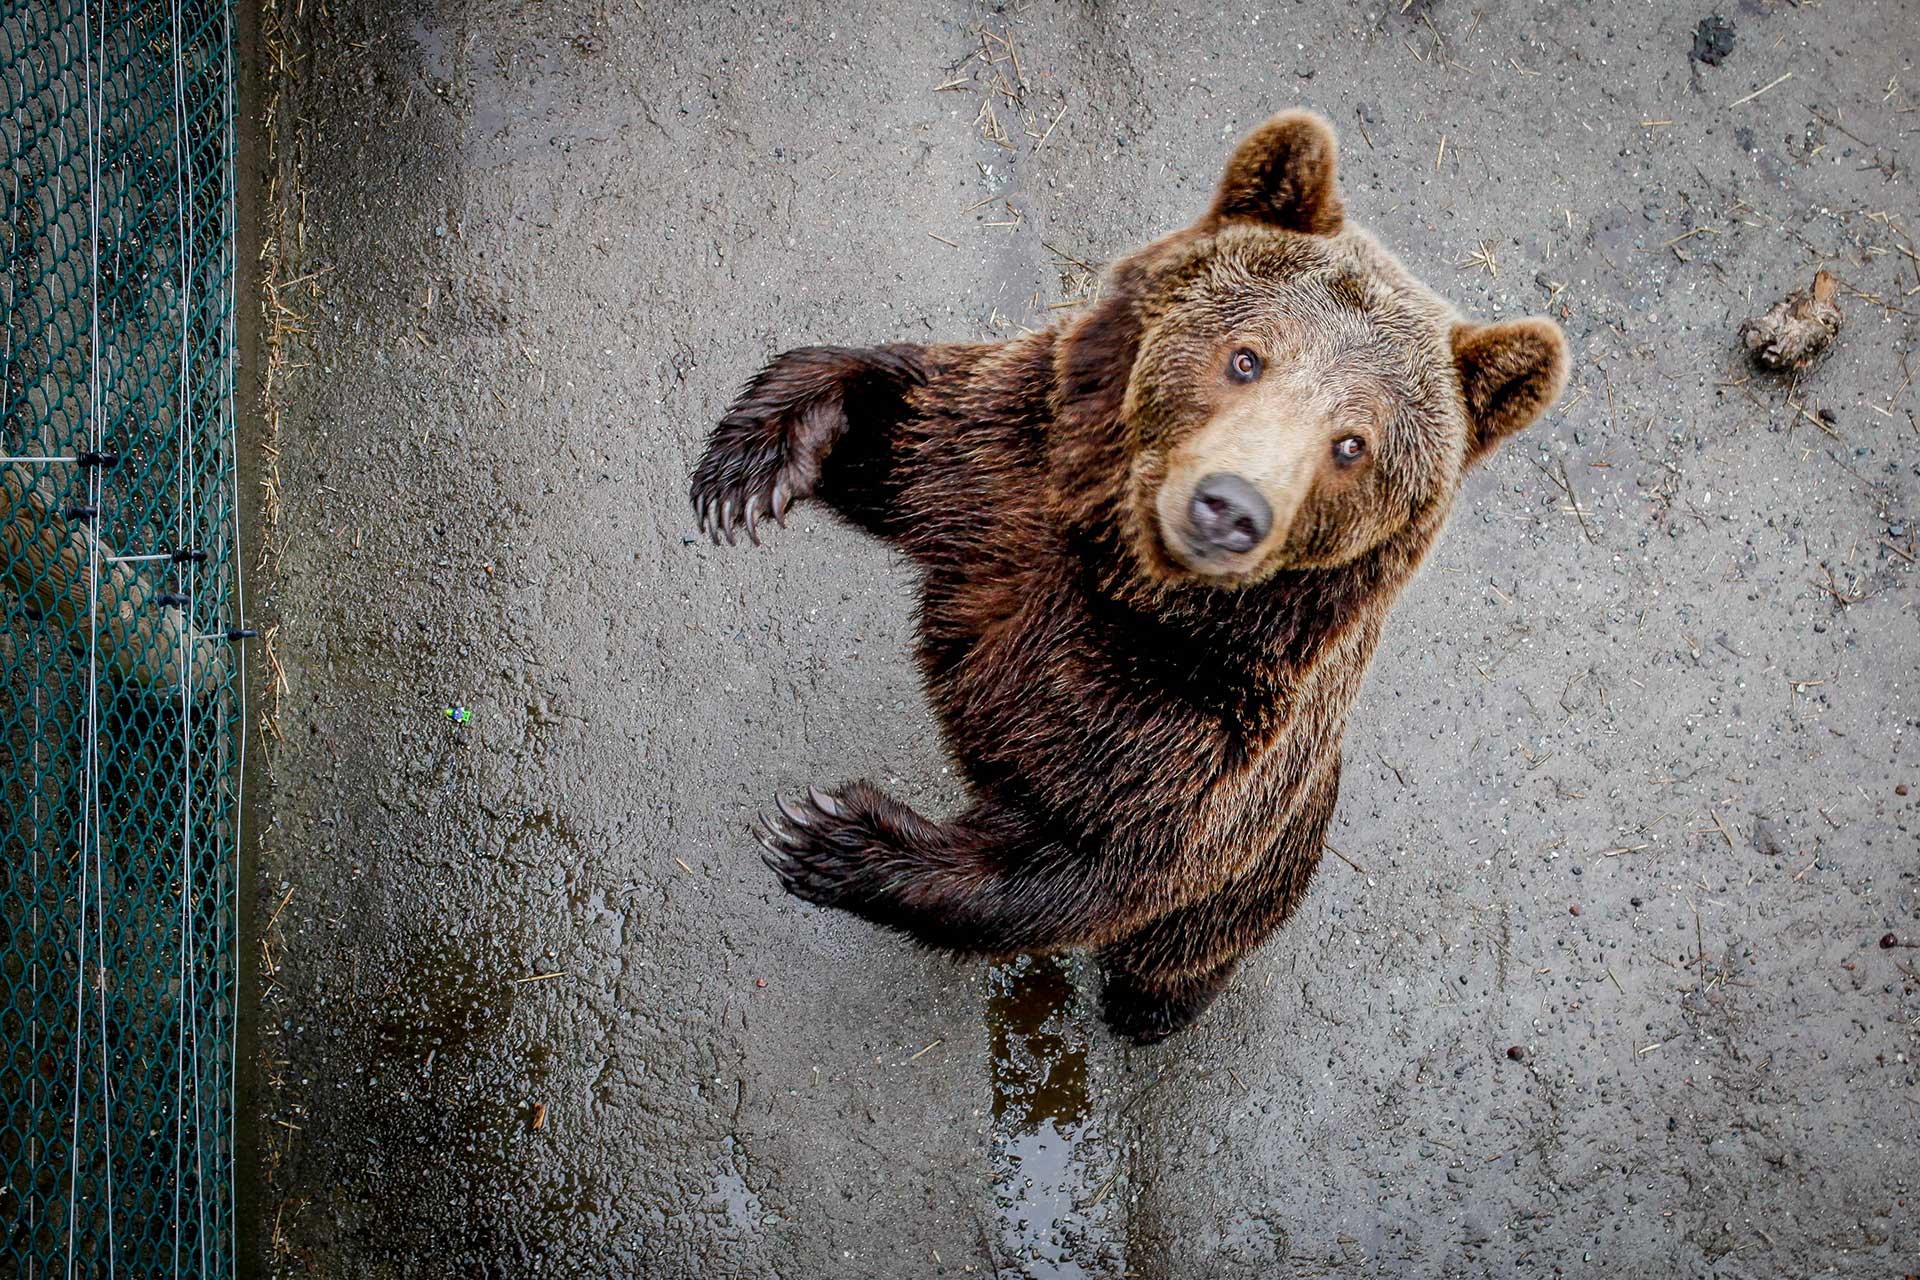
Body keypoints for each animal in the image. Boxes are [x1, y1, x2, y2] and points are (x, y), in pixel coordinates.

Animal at [698, 110, 1566, 1043]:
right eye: (1247, 357)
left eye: (1352, 443)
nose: (1230, 507)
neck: (1122, 576)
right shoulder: (1008, 484)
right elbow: (912, 428)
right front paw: (754, 464)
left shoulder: (1201, 725)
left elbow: (1099, 863)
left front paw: (831, 837)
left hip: (1275, 858)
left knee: (1187, 941)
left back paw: (1152, 1005)